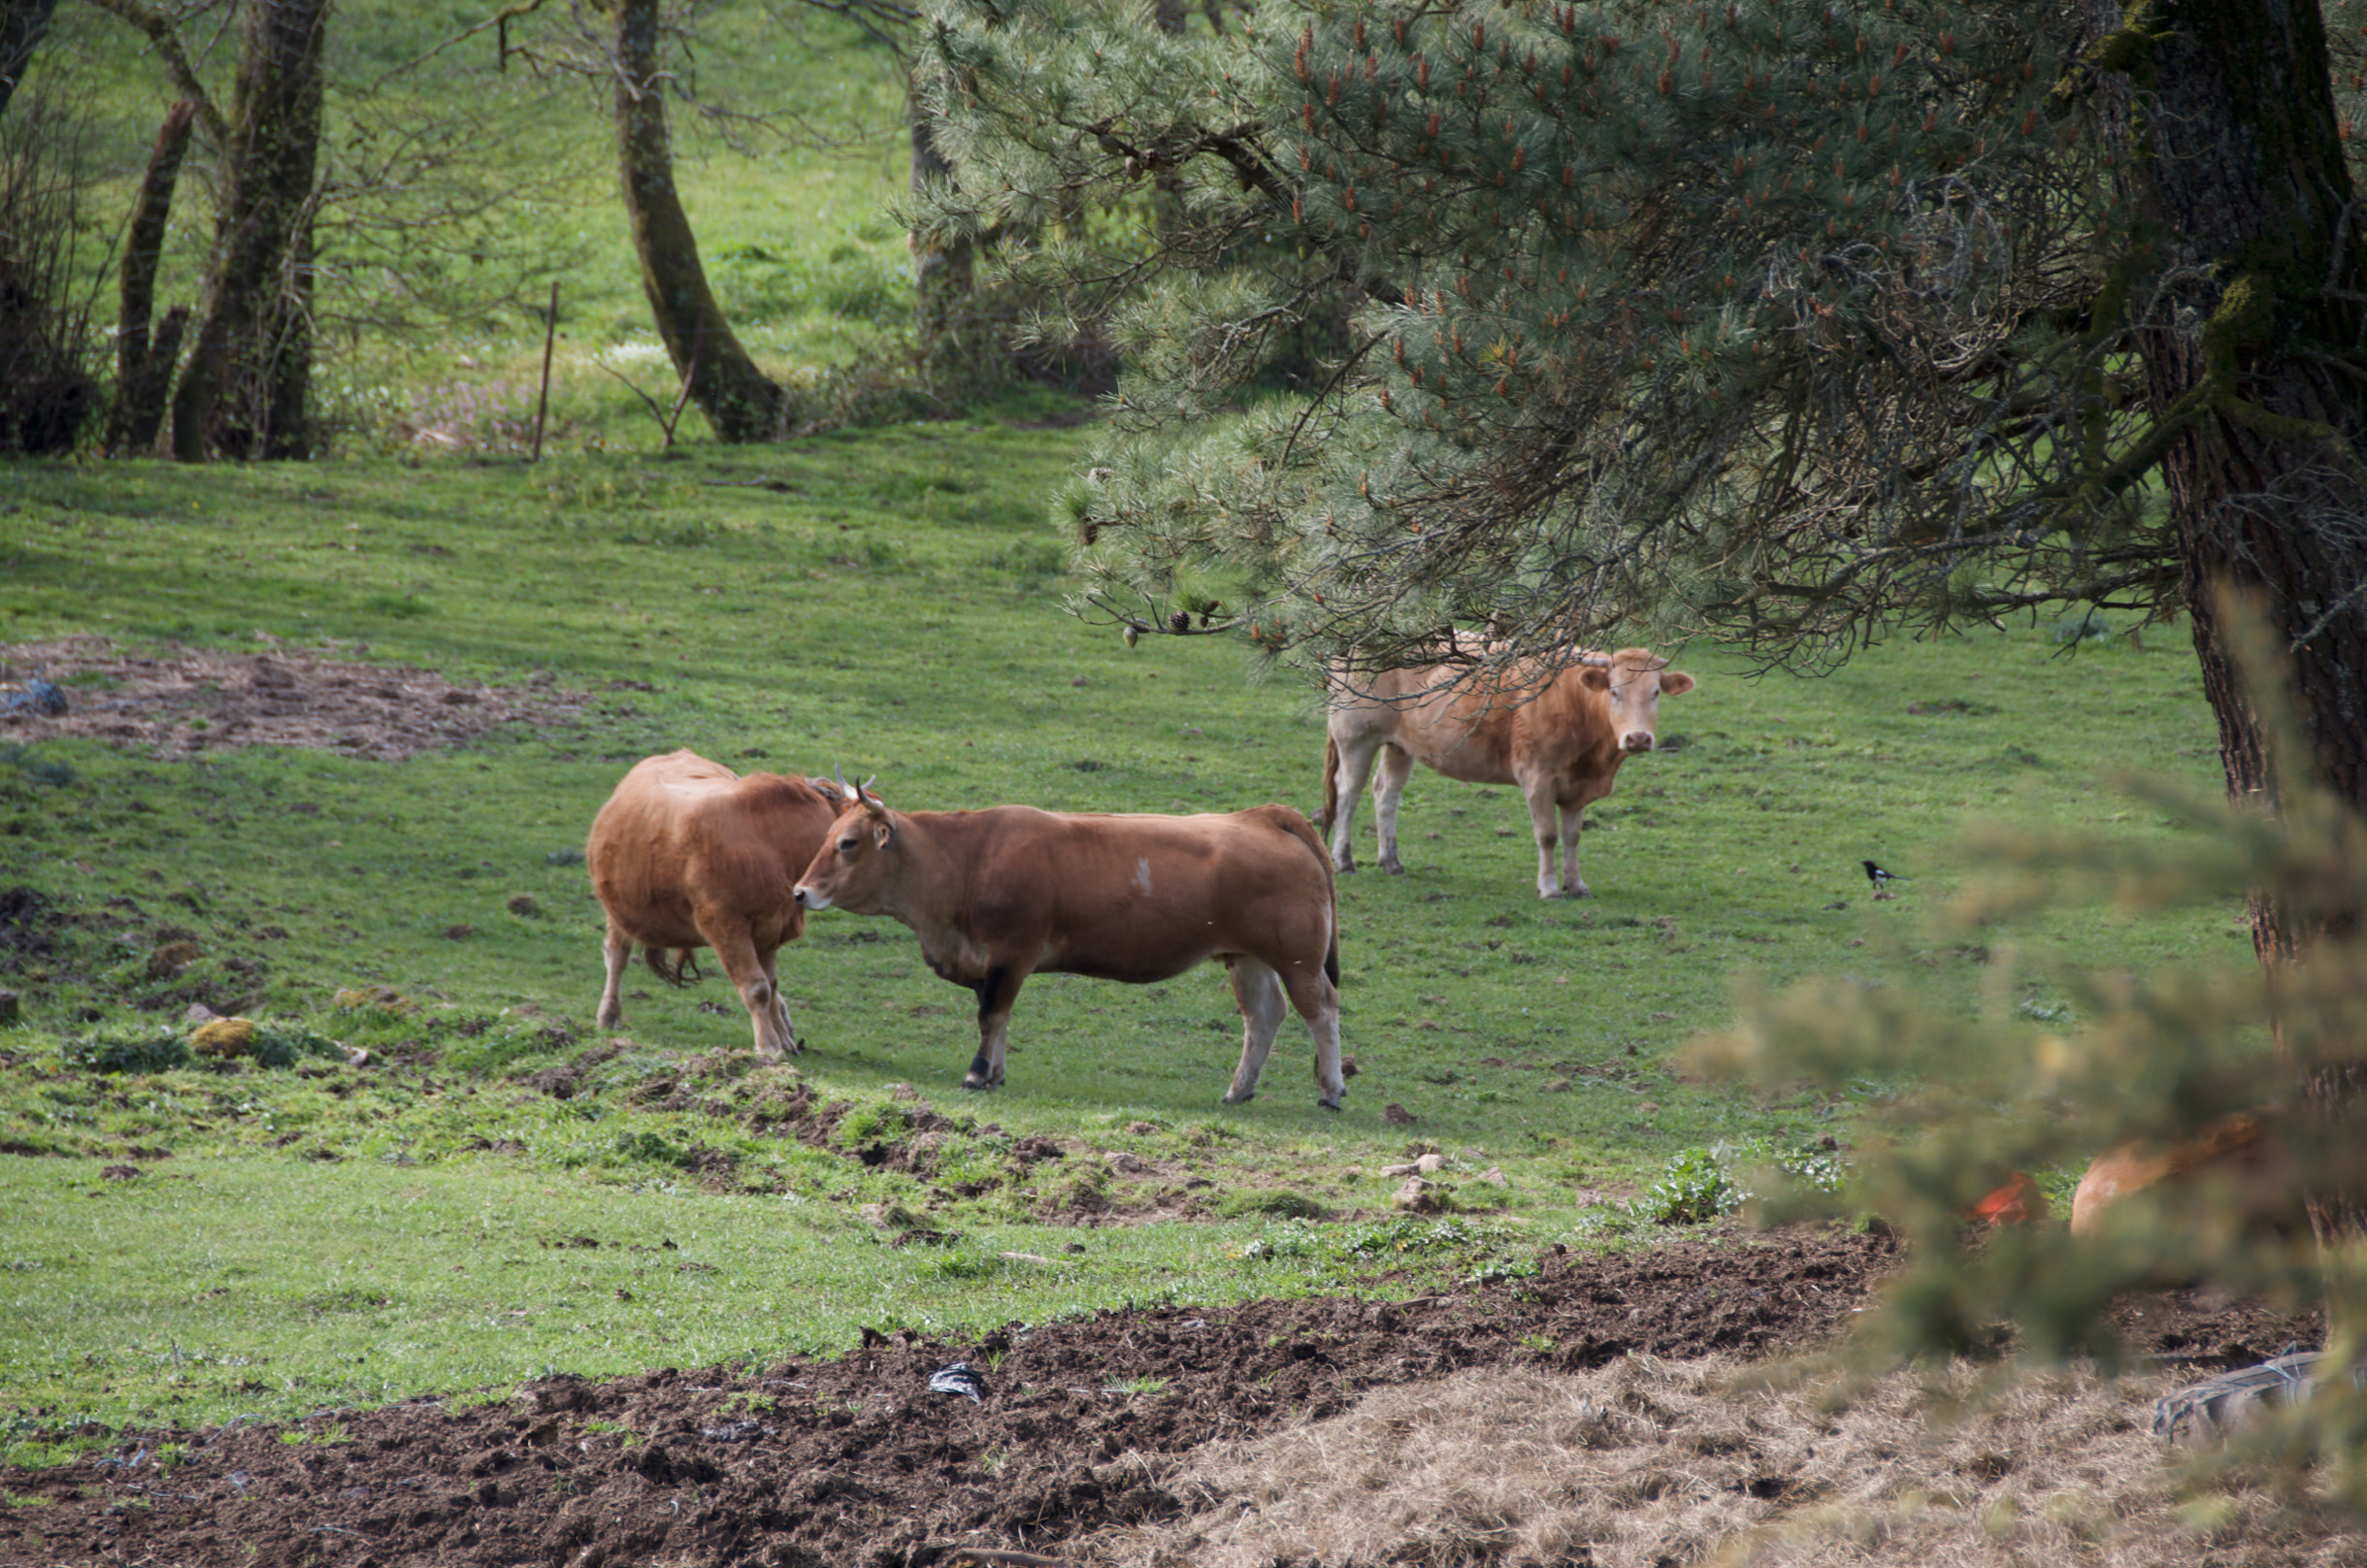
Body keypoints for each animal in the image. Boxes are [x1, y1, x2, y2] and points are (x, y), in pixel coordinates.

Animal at [584, 752, 852, 1068]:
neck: (771, 846)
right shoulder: (724, 925)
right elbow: (757, 987)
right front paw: (769, 1045)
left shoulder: (770, 928)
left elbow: (771, 984)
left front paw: (782, 1037)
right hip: (619, 910)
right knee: (617, 955)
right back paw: (609, 1014)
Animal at [795, 790, 1354, 1111]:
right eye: (827, 835)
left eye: (847, 843)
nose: (799, 892)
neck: (967, 859)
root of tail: (1263, 816)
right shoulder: (994, 963)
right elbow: (999, 1018)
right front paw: (995, 1074)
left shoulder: (1010, 955)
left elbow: (991, 1016)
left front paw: (977, 1074)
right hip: (1249, 958)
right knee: (1264, 1016)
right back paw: (1239, 1090)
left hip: (1298, 959)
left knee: (1321, 1011)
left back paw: (1330, 1091)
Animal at [1325, 642, 1694, 903]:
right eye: (1615, 692)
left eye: (1655, 693)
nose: (1638, 738)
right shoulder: (1537, 777)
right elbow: (1548, 835)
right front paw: (1549, 888)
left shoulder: (1578, 788)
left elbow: (1572, 837)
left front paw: (1576, 885)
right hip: (1356, 736)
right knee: (1349, 793)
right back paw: (1343, 860)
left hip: (1400, 745)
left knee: (1386, 792)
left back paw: (1391, 861)